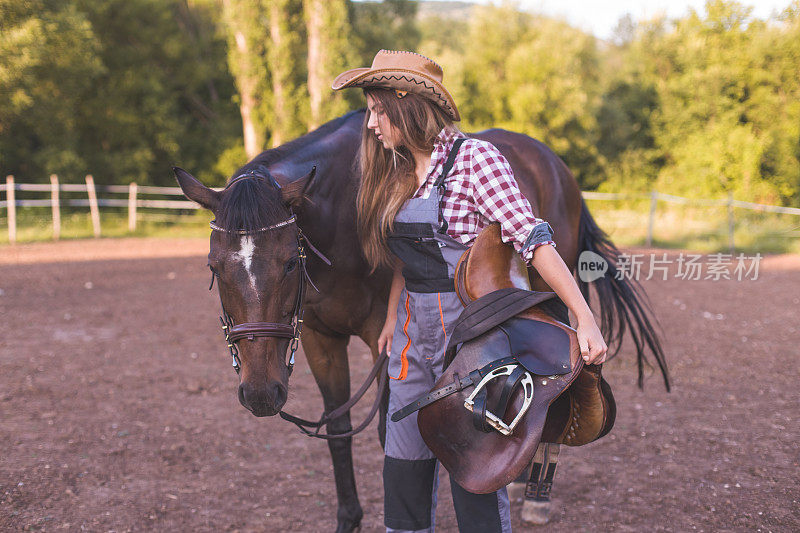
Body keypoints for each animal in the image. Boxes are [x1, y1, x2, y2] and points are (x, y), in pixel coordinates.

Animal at [175, 106, 668, 528]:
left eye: (288, 265)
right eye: (215, 268)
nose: (260, 393)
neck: (341, 214)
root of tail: (554, 162)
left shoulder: (385, 340)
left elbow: (387, 432)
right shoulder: (318, 337)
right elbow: (339, 429)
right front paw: (349, 518)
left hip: (552, 288)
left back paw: (537, 496)